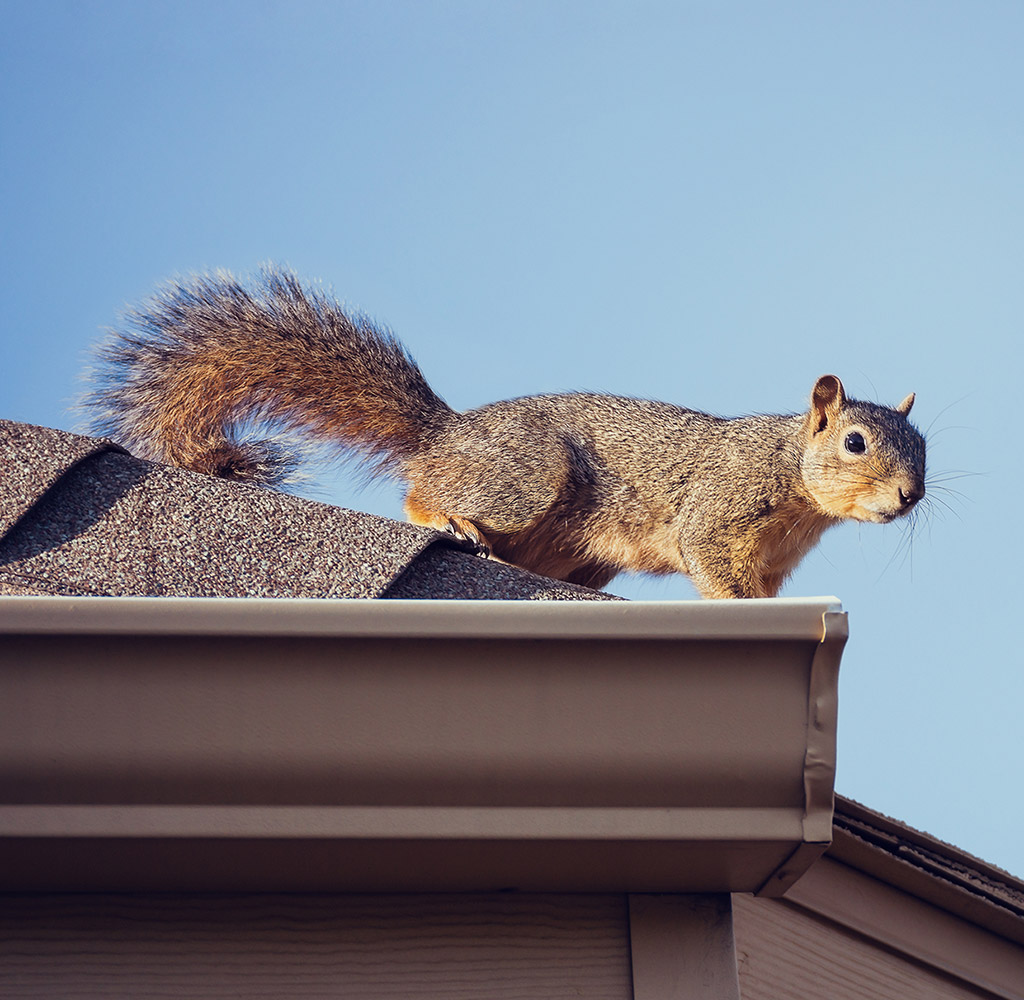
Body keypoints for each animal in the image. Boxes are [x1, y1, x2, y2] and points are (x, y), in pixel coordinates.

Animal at [83, 266, 926, 598]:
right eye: (855, 442)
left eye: (924, 449)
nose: (910, 496)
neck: (794, 480)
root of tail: (447, 433)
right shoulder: (719, 509)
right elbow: (710, 561)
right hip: (526, 479)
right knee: (421, 493)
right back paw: (450, 519)